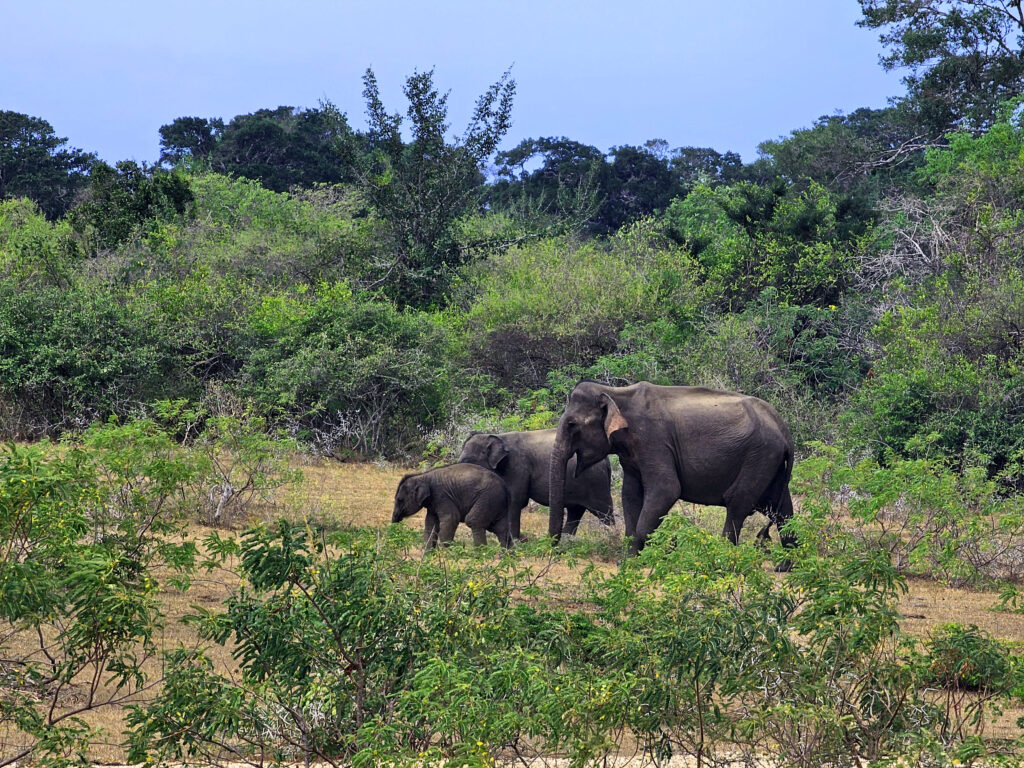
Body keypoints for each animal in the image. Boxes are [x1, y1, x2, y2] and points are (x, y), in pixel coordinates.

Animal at [458, 430, 610, 544]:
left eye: (467, 461)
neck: (498, 436)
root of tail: (607, 461)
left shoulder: (517, 467)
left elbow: (515, 502)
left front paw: (516, 543)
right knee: (575, 512)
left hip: (596, 483)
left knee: (604, 511)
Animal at [548, 382, 794, 561]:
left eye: (571, 424)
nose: (554, 547)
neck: (616, 393)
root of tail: (783, 426)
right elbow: (630, 495)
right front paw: (628, 561)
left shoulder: (653, 440)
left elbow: (667, 490)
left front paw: (651, 554)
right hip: (771, 462)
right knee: (781, 509)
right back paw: (786, 566)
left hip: (760, 455)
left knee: (738, 503)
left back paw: (722, 560)